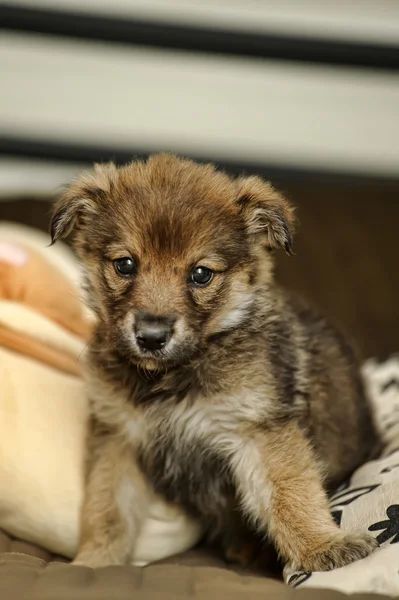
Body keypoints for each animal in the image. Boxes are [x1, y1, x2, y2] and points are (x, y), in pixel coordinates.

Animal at [50, 154, 382, 572]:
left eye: (201, 274)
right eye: (125, 265)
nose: (151, 336)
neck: (170, 377)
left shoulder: (257, 430)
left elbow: (291, 494)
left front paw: (322, 546)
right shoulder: (118, 438)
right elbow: (106, 508)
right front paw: (94, 562)